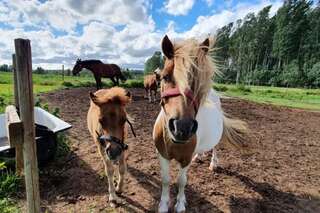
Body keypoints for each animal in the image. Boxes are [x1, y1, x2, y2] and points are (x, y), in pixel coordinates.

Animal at [152, 35, 248, 213]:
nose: (182, 128)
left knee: (215, 147)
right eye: (165, 77)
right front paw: (163, 205)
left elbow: (182, 181)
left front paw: (180, 204)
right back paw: (200, 156)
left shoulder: (185, 159)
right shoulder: (162, 155)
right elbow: (166, 180)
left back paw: (213, 164)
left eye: (198, 83)